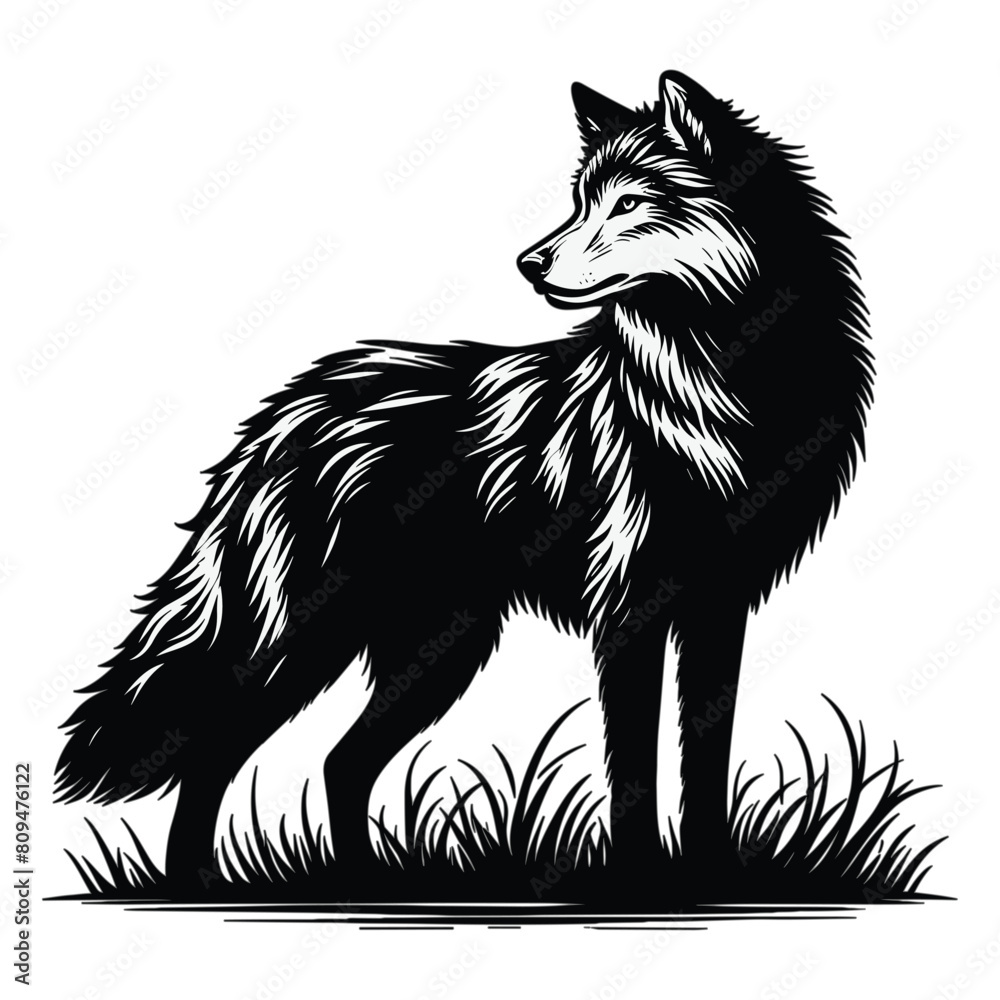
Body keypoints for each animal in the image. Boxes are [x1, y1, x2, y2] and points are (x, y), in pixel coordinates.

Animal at [56, 71, 873, 885]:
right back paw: (197, 883)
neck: (726, 382)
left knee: (338, 763)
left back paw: (369, 885)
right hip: (315, 644)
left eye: (628, 203)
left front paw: (708, 877)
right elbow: (634, 767)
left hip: (438, 649)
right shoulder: (632, 609)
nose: (530, 264)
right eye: (581, 199)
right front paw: (639, 883)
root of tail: (292, 404)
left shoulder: (718, 606)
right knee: (215, 751)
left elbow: (705, 757)